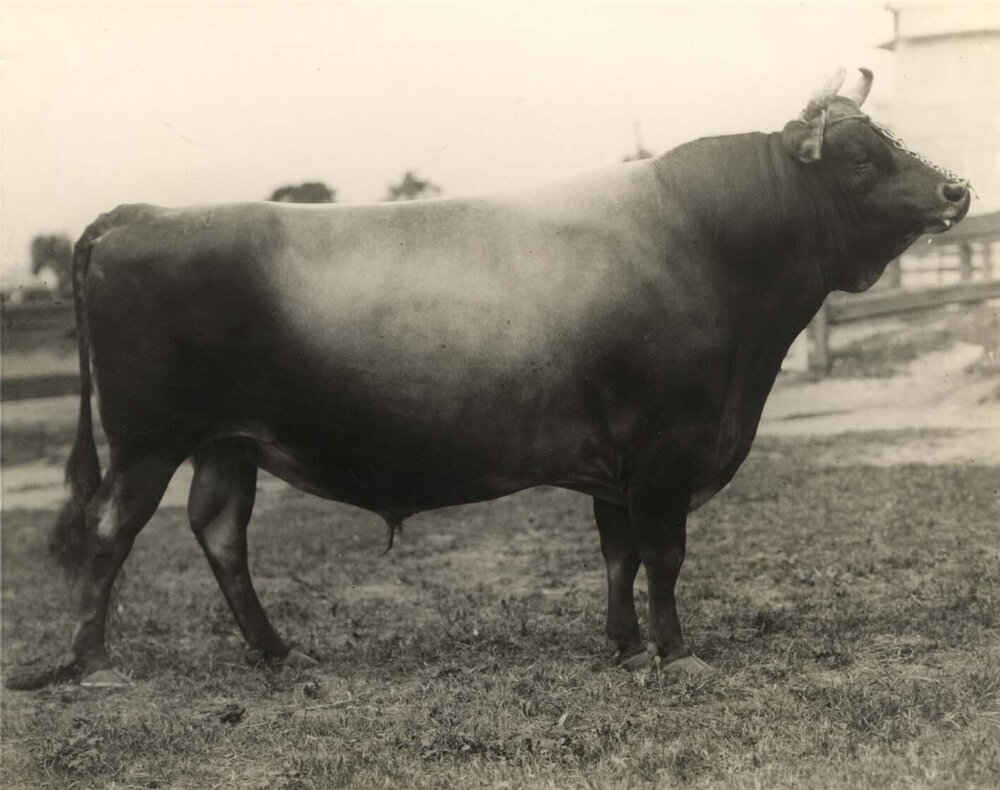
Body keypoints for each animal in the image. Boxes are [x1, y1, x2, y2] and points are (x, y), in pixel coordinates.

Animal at [6, 68, 970, 690]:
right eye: (858, 157)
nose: (957, 190)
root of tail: (137, 214)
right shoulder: (664, 449)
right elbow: (663, 555)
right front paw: (677, 653)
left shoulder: (618, 463)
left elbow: (618, 554)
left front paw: (625, 647)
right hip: (148, 438)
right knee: (110, 529)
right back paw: (92, 665)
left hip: (227, 441)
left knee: (219, 534)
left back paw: (278, 653)